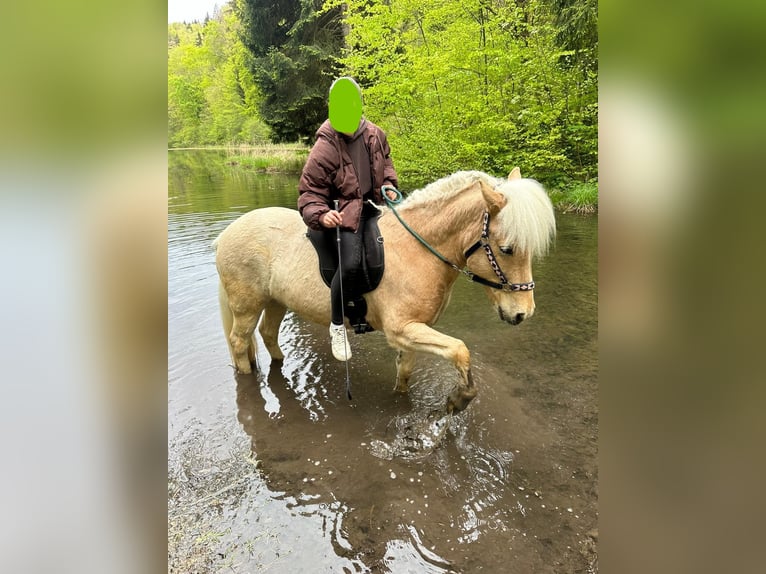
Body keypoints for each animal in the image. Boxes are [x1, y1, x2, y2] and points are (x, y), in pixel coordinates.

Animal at [213, 168, 556, 414]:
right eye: (507, 249)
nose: (522, 313)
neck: (417, 250)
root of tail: (225, 235)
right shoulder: (401, 329)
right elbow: (460, 350)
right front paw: (459, 400)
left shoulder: (413, 331)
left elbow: (405, 372)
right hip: (246, 306)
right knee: (240, 342)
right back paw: (247, 375)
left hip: (275, 301)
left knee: (268, 333)